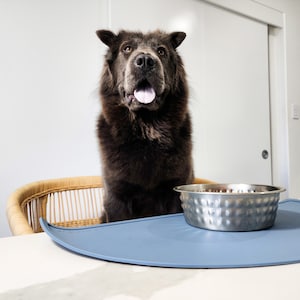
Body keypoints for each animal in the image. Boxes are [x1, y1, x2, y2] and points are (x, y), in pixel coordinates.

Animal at [96, 29, 195, 223]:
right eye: (127, 48)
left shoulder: (176, 189)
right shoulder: (116, 194)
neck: (146, 128)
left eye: (161, 51)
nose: (145, 61)